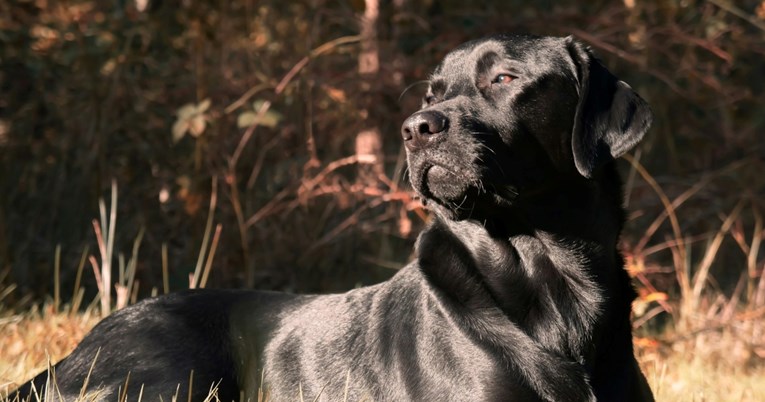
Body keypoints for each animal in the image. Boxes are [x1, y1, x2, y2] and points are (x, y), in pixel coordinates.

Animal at [11, 35, 652, 402]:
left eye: (504, 78)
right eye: (431, 93)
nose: (416, 128)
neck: (551, 276)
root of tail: (72, 353)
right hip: (168, 373)